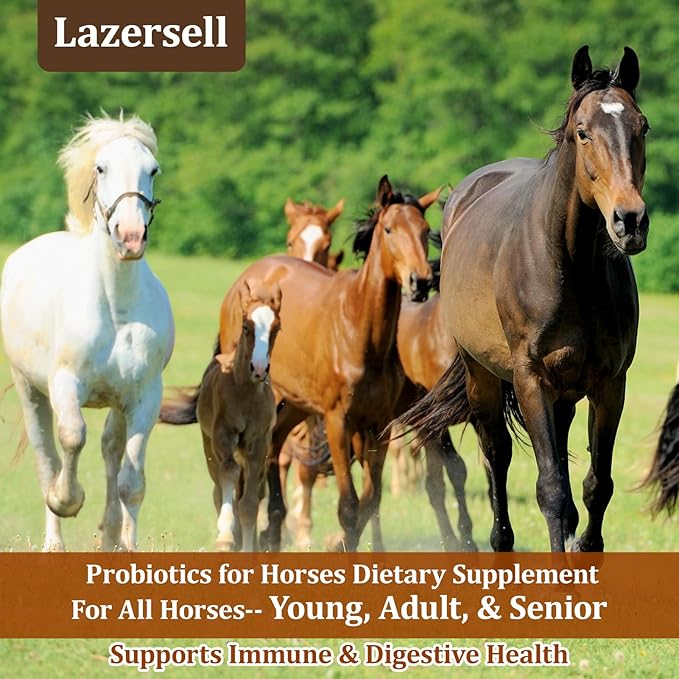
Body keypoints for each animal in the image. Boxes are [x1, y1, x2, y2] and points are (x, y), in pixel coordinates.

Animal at [0, 114, 174, 551]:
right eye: (101, 167)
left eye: (153, 170)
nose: (130, 236)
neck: (116, 306)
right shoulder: (65, 384)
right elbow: (71, 437)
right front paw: (67, 500)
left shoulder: (144, 398)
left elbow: (131, 482)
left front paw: (125, 546)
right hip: (28, 388)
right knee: (46, 457)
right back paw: (54, 542)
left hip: (116, 402)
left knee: (111, 451)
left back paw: (110, 536)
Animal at [158, 279, 282, 551]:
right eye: (247, 326)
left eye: (277, 328)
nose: (259, 368)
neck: (245, 393)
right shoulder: (222, 436)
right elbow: (228, 475)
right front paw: (225, 537)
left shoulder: (259, 443)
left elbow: (250, 502)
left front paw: (248, 548)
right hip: (208, 445)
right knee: (218, 489)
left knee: (253, 490)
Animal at [219, 176, 440, 551]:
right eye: (390, 229)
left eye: (425, 230)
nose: (420, 281)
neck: (362, 332)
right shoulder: (338, 421)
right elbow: (348, 506)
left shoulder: (378, 425)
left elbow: (371, 500)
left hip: (292, 403)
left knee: (274, 448)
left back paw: (273, 530)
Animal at [398, 46, 649, 552]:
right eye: (583, 132)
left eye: (643, 127)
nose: (630, 221)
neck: (572, 269)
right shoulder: (532, 380)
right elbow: (551, 490)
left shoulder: (610, 384)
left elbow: (596, 487)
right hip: (482, 377)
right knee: (495, 455)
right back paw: (498, 542)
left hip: (565, 396)